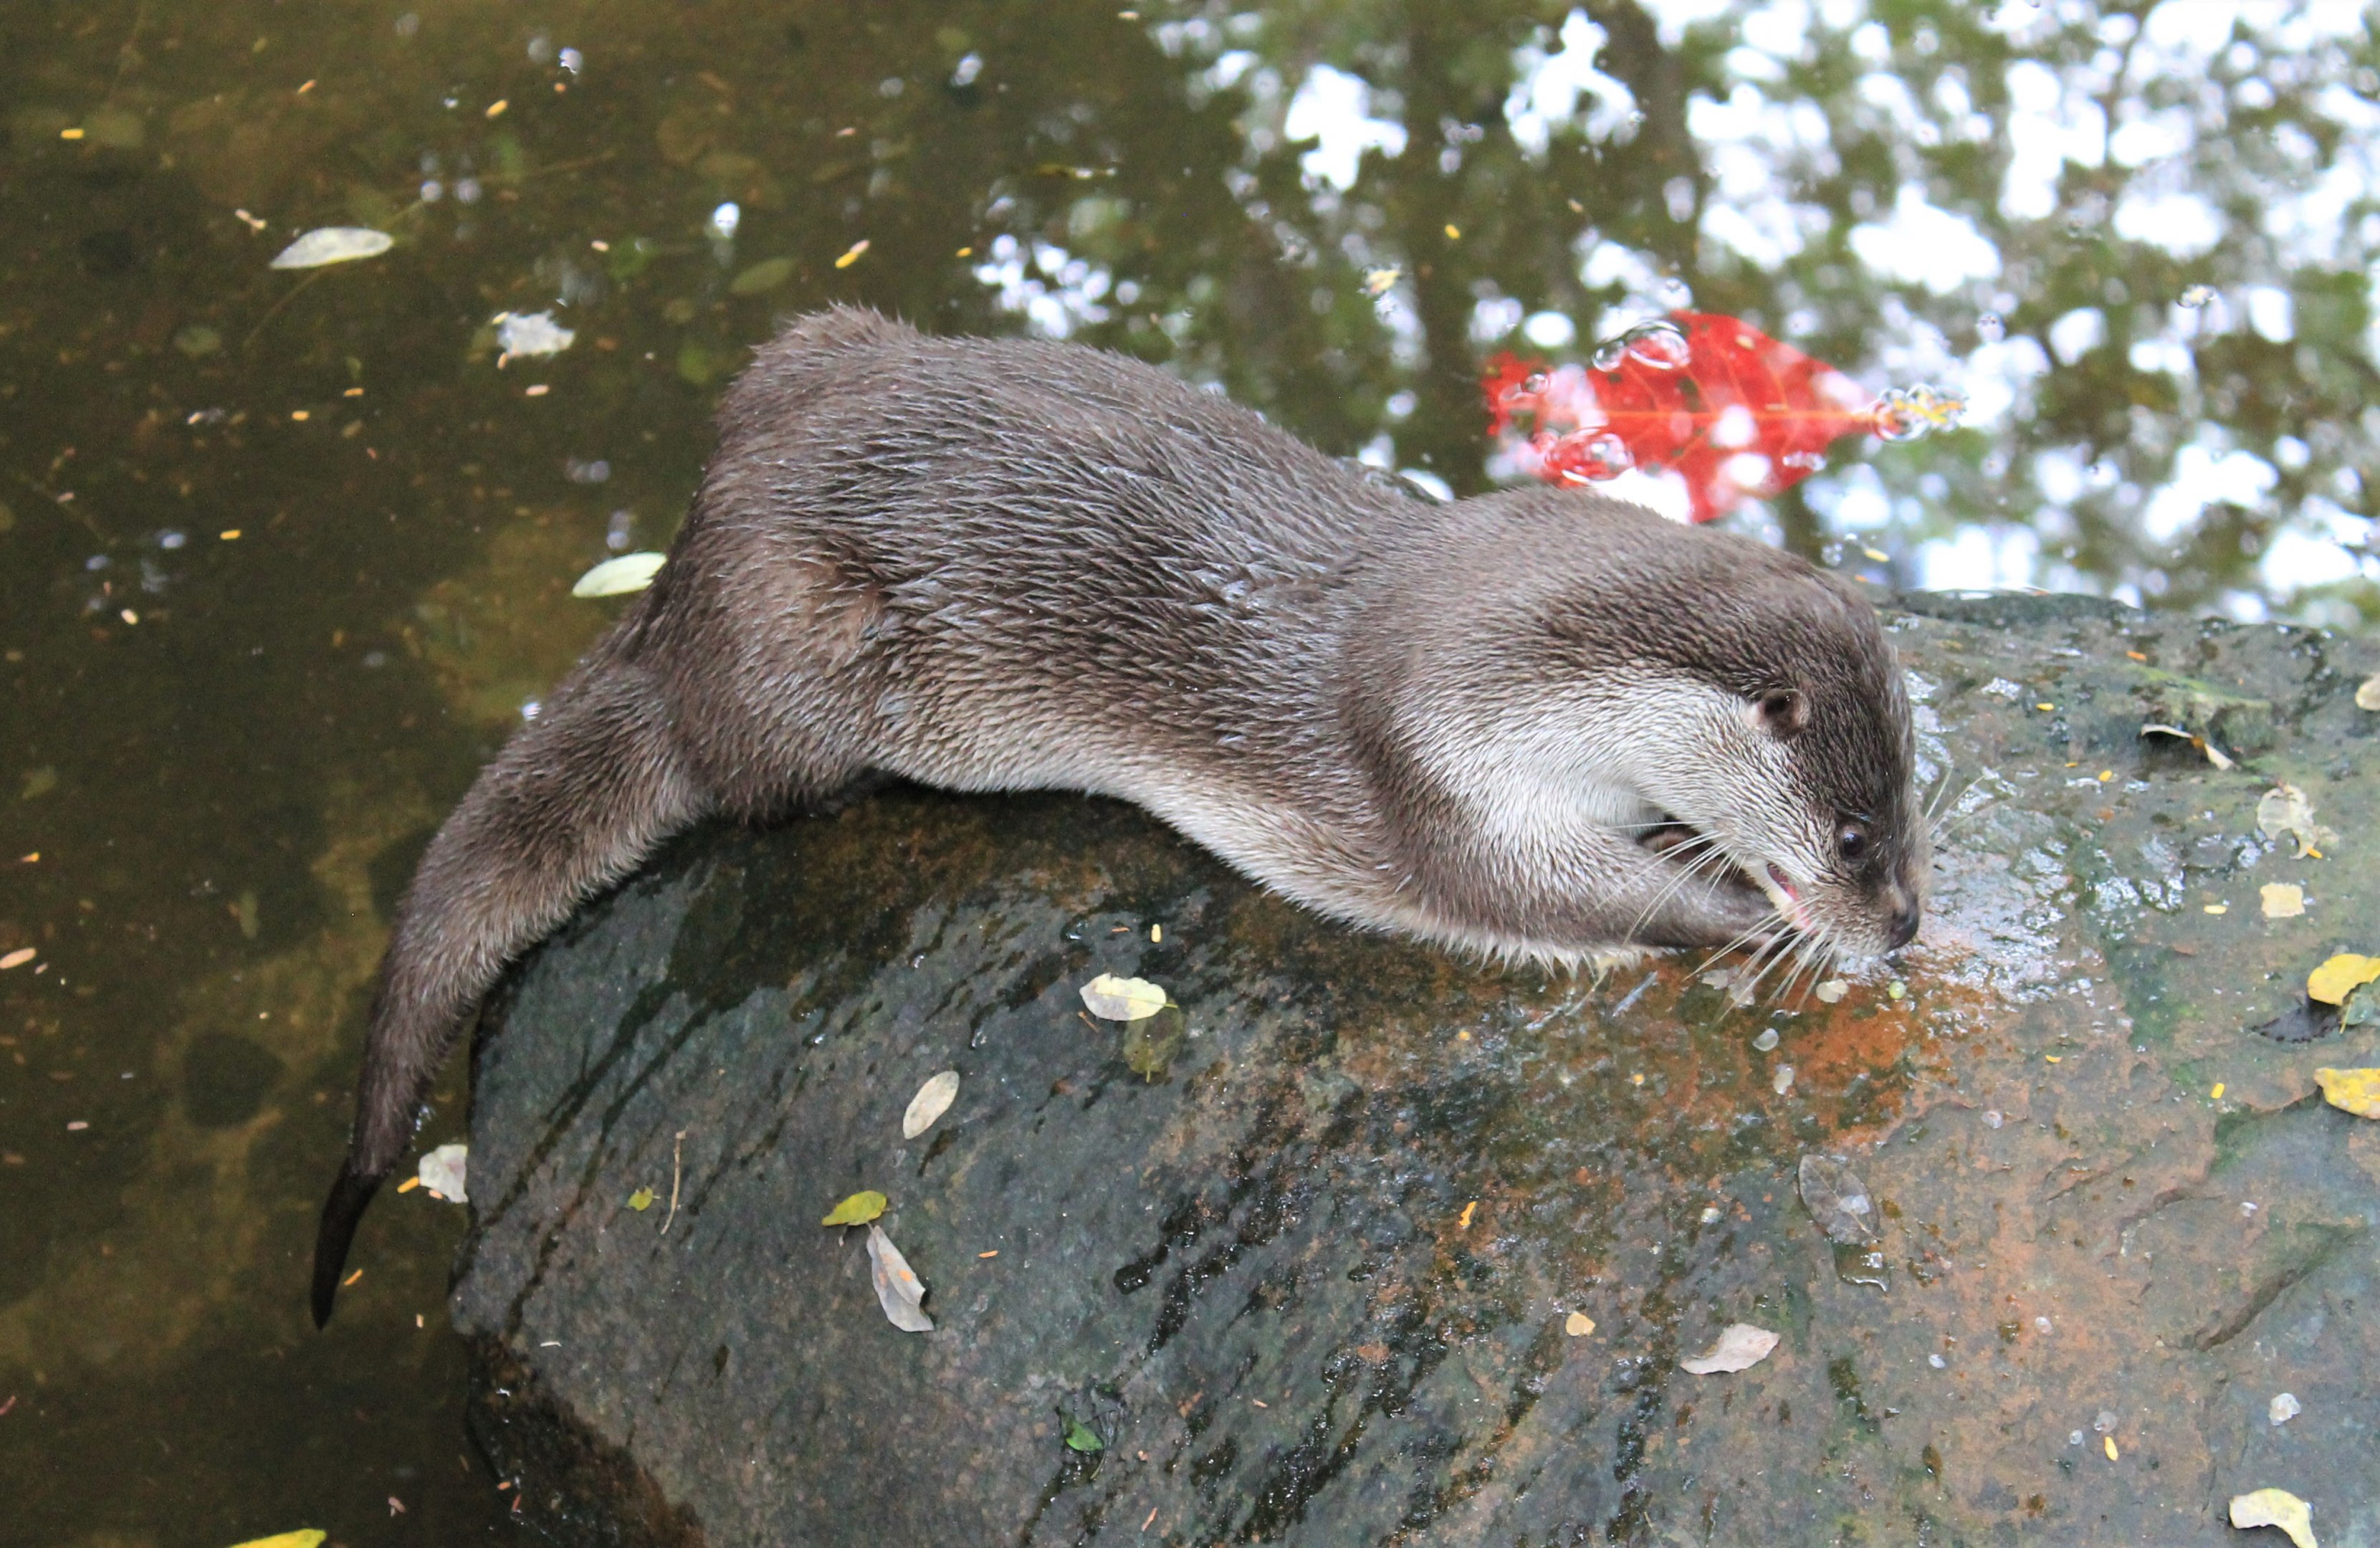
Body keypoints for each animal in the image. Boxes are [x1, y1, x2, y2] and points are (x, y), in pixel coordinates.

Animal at [311, 307, 1920, 1326]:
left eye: (1909, 809)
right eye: (1855, 839)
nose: (1903, 925)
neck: (1488, 659)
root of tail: (682, 575)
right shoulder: (1438, 775)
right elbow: (1553, 896)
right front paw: (1738, 913)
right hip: (793, 639)